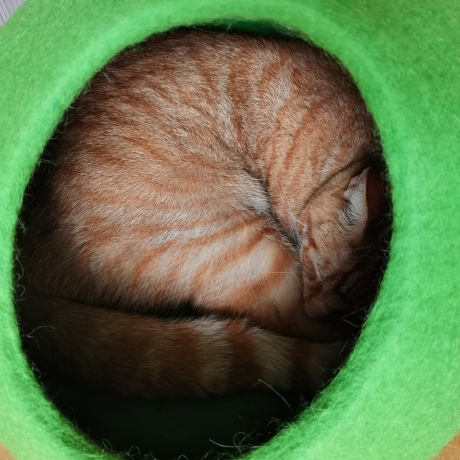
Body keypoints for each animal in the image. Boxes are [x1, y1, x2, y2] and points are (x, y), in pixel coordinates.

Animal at [14, 27, 390, 398]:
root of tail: (24, 267)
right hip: (244, 249)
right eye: (315, 269)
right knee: (291, 320)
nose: (321, 311)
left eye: (347, 306)